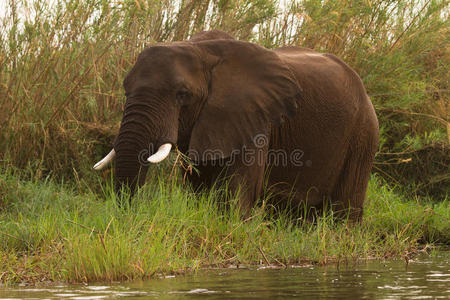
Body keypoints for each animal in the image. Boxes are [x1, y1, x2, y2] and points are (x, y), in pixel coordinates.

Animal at [93, 30, 378, 223]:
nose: (126, 216)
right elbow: (198, 185)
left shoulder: (256, 120)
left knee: (344, 212)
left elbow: (236, 192)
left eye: (182, 94)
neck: (200, 49)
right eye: (125, 90)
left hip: (363, 135)